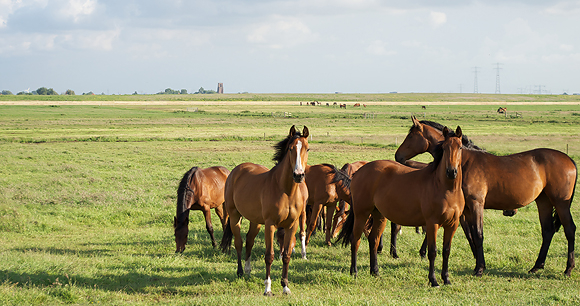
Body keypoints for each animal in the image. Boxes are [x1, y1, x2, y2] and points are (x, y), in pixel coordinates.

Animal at [219, 125, 308, 296]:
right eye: (291, 149)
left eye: (307, 148)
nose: (298, 175)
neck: (285, 190)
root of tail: (236, 171)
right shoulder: (270, 225)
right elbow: (269, 256)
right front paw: (268, 288)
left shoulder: (292, 225)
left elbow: (286, 255)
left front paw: (285, 286)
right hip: (235, 216)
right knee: (239, 242)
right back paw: (240, 271)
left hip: (255, 221)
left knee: (249, 240)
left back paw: (248, 270)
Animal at [336, 127, 466, 286]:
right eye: (444, 148)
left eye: (460, 147)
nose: (451, 172)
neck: (446, 188)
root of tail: (359, 171)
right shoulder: (432, 223)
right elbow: (433, 251)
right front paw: (433, 280)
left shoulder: (452, 224)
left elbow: (446, 251)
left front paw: (446, 279)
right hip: (362, 213)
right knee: (355, 240)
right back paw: (354, 271)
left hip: (379, 215)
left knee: (374, 240)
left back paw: (375, 271)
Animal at [394, 115, 576, 278]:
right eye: (444, 148)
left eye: (411, 136)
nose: (397, 156)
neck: (465, 163)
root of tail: (569, 159)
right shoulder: (467, 209)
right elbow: (472, 235)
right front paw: (478, 264)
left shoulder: (476, 205)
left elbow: (479, 234)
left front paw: (480, 269)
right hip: (544, 202)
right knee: (547, 231)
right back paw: (536, 266)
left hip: (561, 203)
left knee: (570, 229)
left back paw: (568, 269)